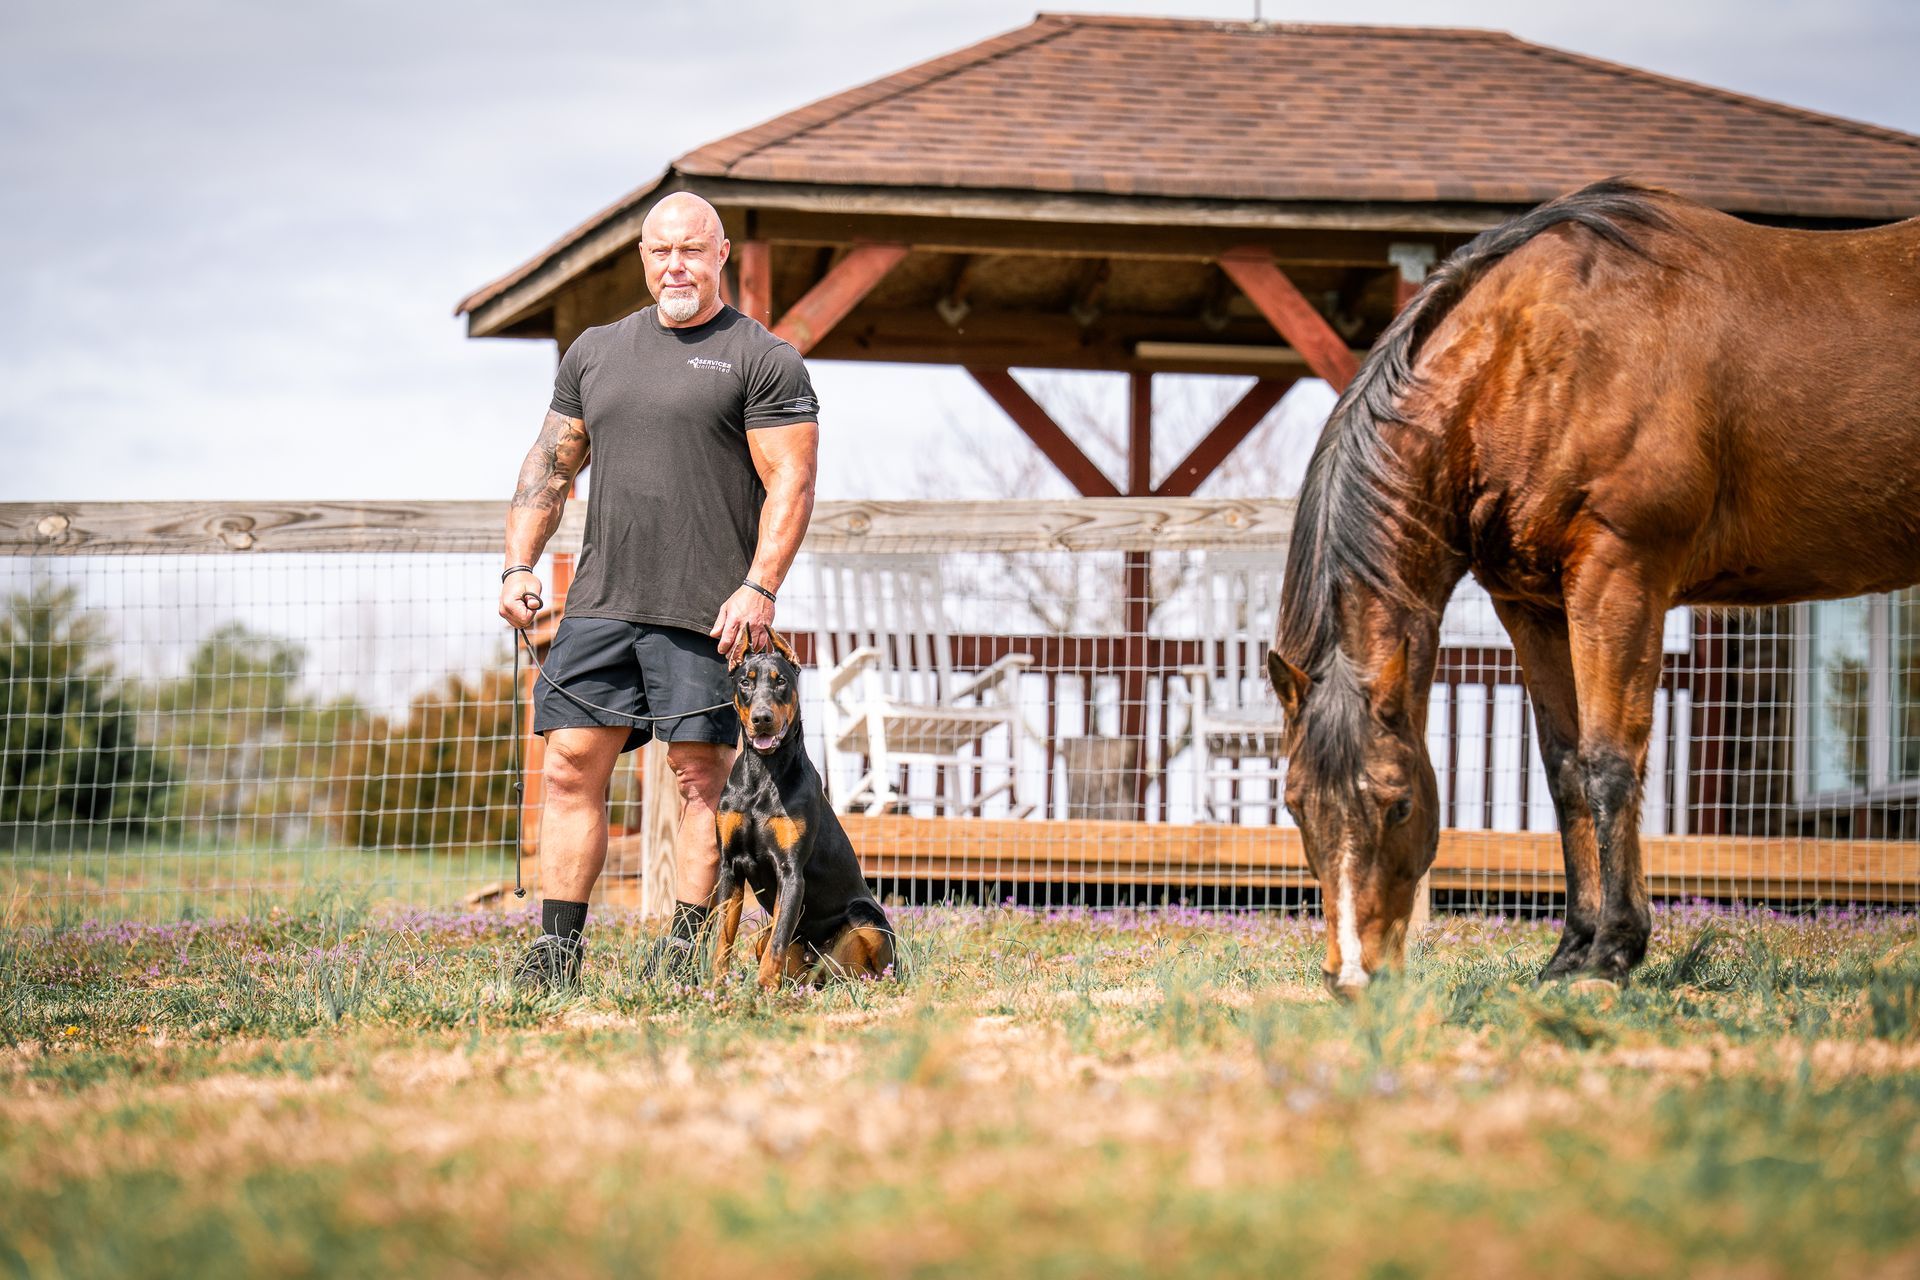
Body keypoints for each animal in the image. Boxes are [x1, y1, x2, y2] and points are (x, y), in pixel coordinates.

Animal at [1267, 178, 1920, 996]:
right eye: (1296, 807)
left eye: (1400, 803)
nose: (1354, 976)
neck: (1534, 360)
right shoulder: (1534, 605)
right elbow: (1567, 771)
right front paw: (1573, 948)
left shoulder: (1621, 575)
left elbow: (1612, 763)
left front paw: (1614, 951)